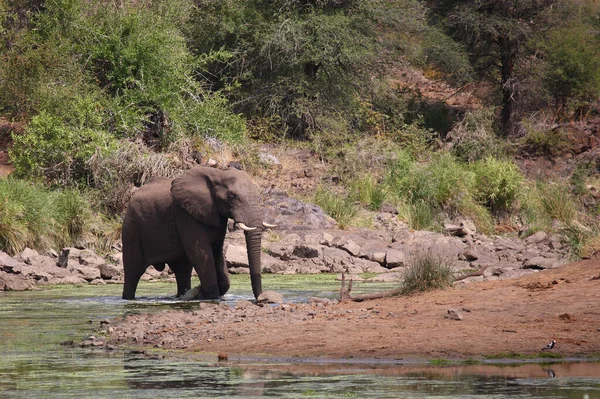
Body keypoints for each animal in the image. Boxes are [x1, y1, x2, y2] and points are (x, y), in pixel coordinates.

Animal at [120, 166, 274, 300]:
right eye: (231, 196)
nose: (260, 298)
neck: (218, 174)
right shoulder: (185, 215)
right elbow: (201, 254)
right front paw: (209, 296)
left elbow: (217, 253)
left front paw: (201, 292)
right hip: (132, 228)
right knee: (133, 272)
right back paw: (128, 298)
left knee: (182, 270)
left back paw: (181, 296)